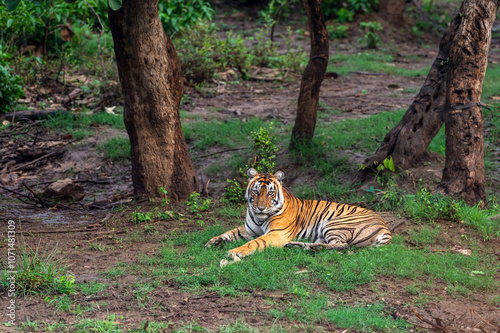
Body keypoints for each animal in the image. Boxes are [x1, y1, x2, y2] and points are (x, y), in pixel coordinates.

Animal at [205, 167, 392, 258]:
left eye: (270, 193)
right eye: (256, 192)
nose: (261, 208)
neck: (259, 218)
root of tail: (386, 228)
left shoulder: (276, 234)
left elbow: (255, 243)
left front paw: (235, 252)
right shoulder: (249, 230)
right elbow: (230, 232)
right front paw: (213, 241)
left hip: (335, 223)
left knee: (341, 246)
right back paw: (296, 246)